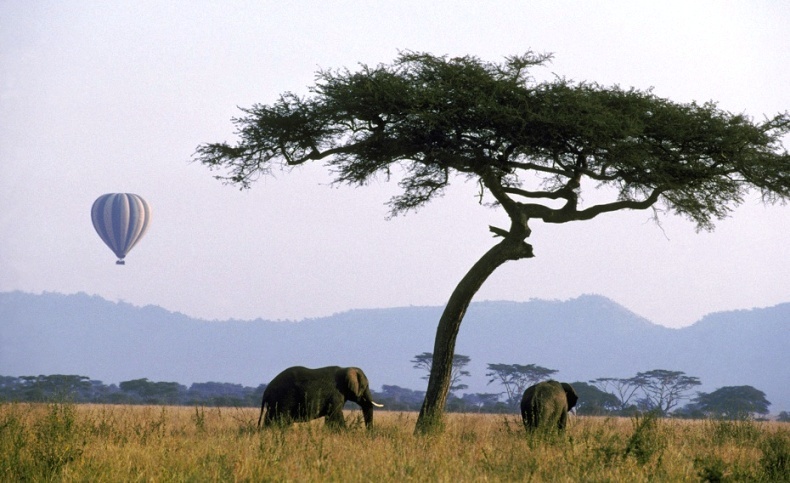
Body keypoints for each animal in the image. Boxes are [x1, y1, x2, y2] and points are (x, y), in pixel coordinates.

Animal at [258, 366, 386, 432]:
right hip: (282, 399)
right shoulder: (335, 394)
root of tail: (266, 391)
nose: (369, 433)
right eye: (365, 386)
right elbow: (336, 414)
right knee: (281, 419)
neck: (345, 369)